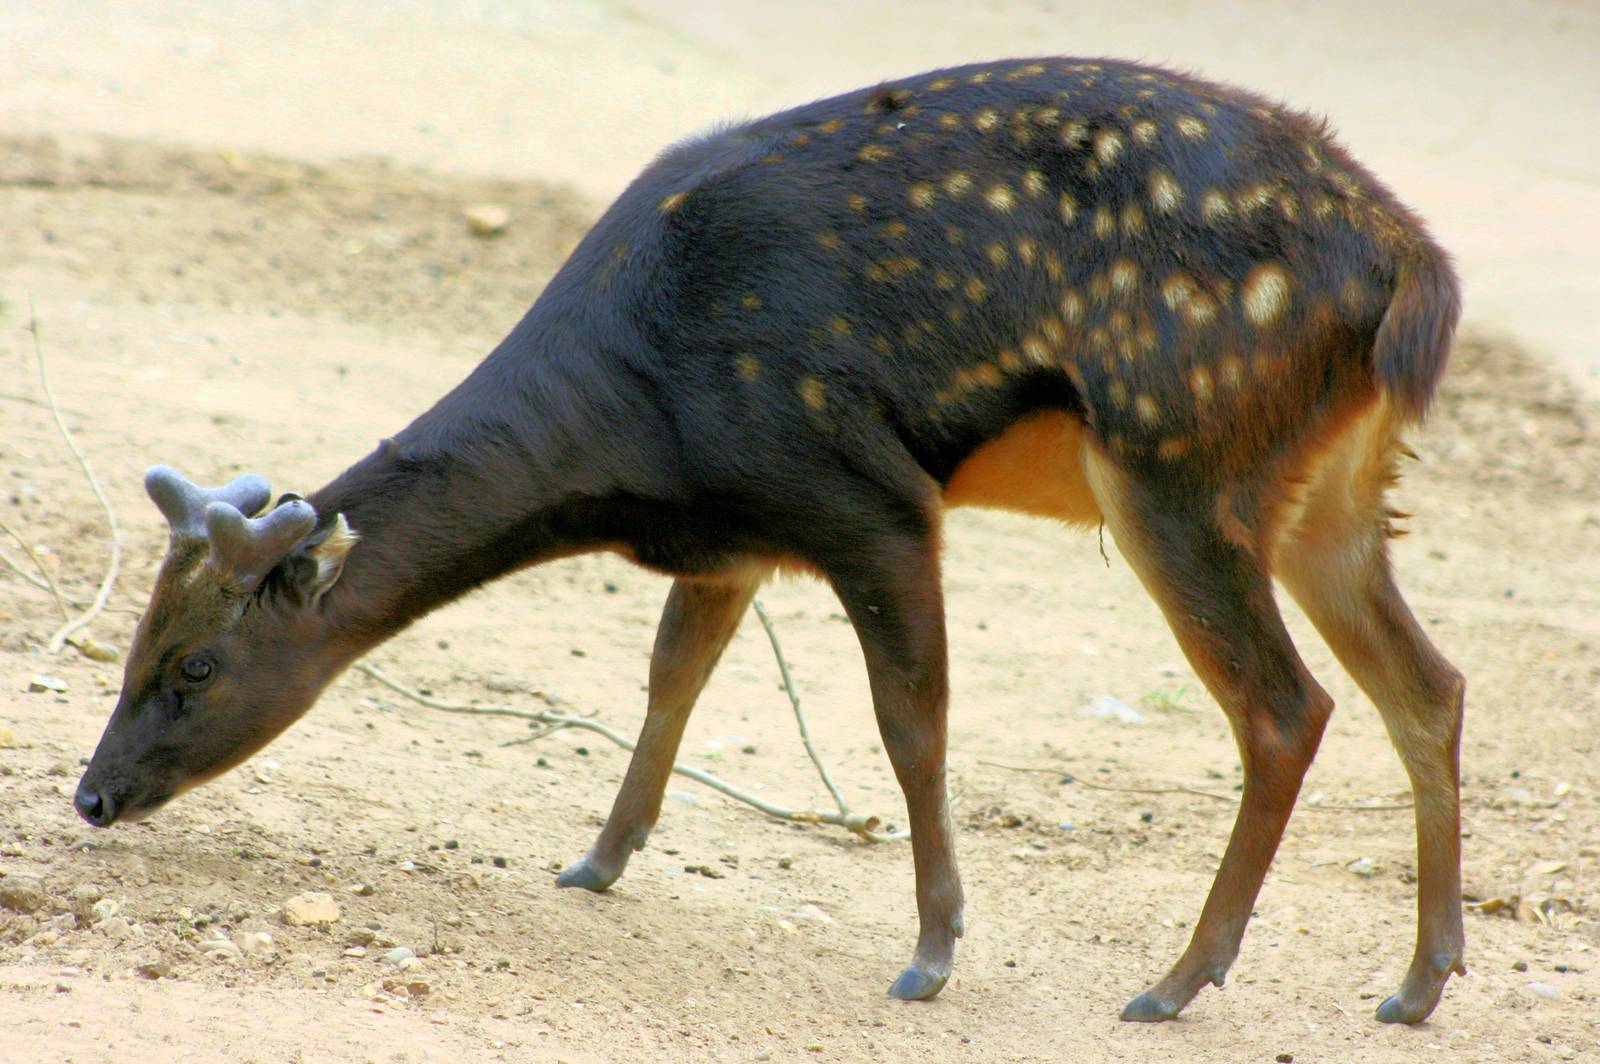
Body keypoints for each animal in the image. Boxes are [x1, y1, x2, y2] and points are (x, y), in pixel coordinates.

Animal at [75, 57, 1465, 1024]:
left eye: (193, 663)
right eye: (131, 638)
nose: (93, 791)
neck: (639, 427)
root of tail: (1412, 268)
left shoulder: (865, 491)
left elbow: (911, 721)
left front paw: (932, 952)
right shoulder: (734, 535)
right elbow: (670, 676)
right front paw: (597, 858)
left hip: (1177, 458)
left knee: (1285, 707)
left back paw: (1176, 980)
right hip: (1331, 492)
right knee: (1428, 686)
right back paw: (1416, 980)